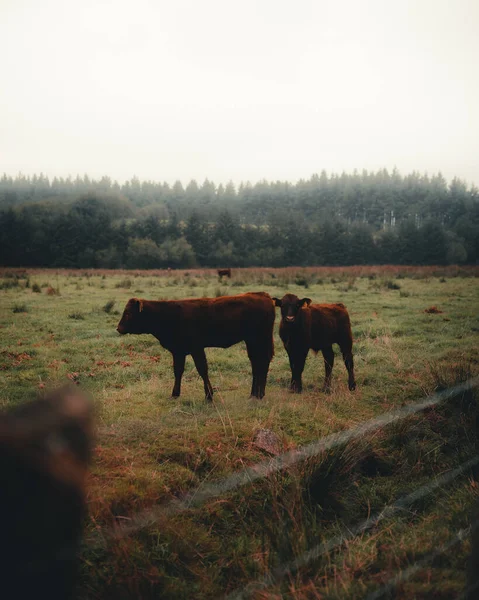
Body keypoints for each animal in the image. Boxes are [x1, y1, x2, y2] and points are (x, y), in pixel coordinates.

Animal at [116, 292, 276, 400]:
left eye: (128, 313)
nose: (119, 328)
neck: (168, 314)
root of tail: (263, 295)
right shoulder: (178, 351)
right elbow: (178, 371)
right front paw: (175, 394)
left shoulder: (196, 348)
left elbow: (202, 369)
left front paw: (209, 395)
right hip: (253, 341)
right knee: (257, 362)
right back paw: (255, 394)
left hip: (259, 339)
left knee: (261, 362)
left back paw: (258, 394)